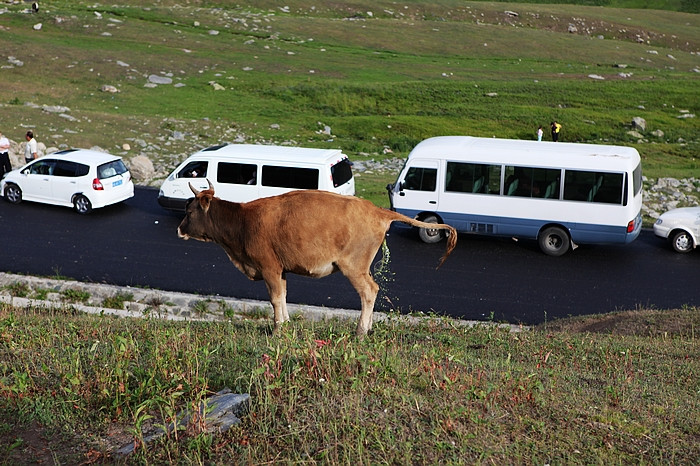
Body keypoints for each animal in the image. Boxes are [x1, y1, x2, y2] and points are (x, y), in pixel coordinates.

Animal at [178, 180, 456, 336]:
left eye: (189, 211)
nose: (180, 229)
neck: (243, 221)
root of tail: (376, 210)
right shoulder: (281, 270)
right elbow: (283, 296)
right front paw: (285, 324)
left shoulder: (269, 267)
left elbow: (275, 299)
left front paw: (277, 330)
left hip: (354, 266)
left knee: (369, 291)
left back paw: (361, 331)